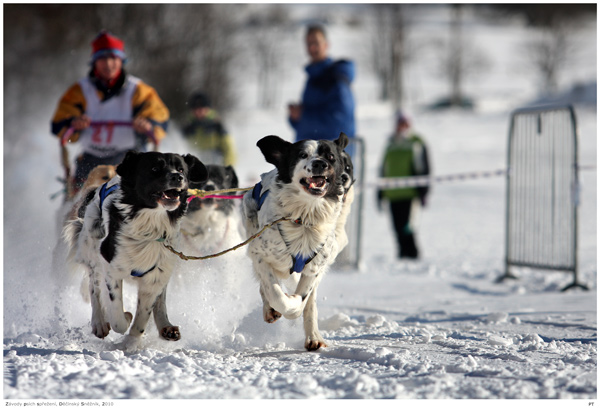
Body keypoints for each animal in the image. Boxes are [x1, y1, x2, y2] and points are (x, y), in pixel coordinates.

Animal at [62, 151, 209, 342]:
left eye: (181, 169)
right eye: (154, 168)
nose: (178, 176)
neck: (151, 228)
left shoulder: (155, 277)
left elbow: (142, 319)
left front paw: (133, 341)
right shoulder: (112, 269)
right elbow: (117, 318)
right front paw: (124, 317)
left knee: (160, 298)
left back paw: (165, 326)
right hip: (92, 249)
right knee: (94, 288)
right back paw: (99, 322)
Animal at [240, 133, 352, 352]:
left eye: (331, 157)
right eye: (302, 155)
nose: (319, 163)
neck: (305, 219)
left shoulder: (315, 266)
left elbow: (303, 299)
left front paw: (296, 305)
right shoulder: (259, 254)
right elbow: (275, 293)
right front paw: (281, 304)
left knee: (310, 302)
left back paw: (313, 336)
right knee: (265, 286)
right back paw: (270, 309)